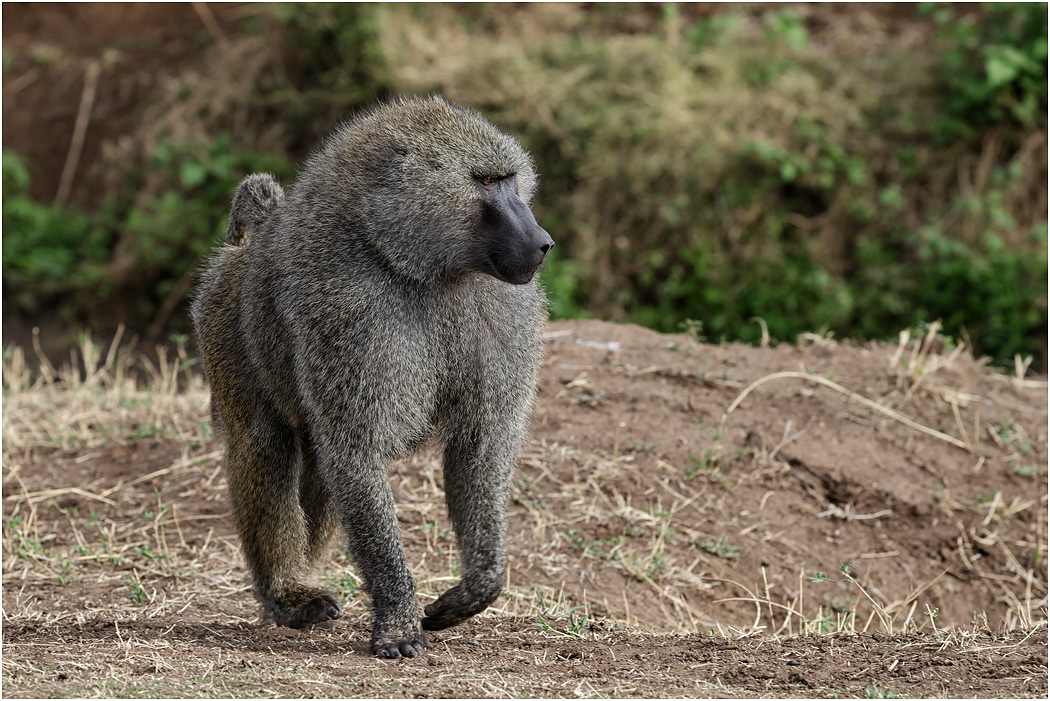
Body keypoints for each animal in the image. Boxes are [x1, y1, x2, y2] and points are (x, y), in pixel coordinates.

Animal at [191, 95, 554, 659]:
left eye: (510, 179)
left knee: (317, 463)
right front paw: (399, 621)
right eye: (485, 182)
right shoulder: (351, 308)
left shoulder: (504, 312)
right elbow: (357, 450)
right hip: (225, 328)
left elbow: (480, 445)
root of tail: (247, 247)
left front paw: (475, 589)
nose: (541, 242)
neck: (425, 268)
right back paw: (286, 594)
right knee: (265, 444)